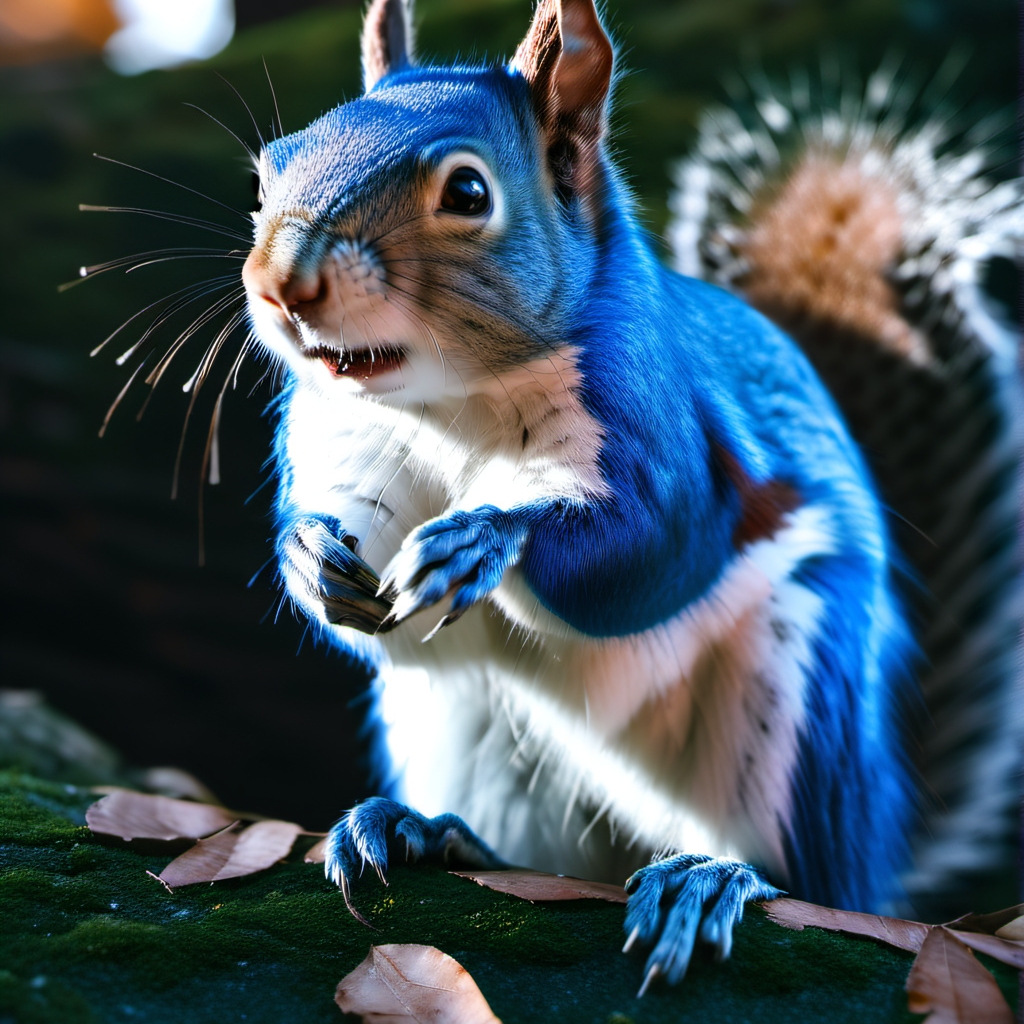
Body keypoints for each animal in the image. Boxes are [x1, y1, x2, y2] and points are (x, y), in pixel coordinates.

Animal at [234, 0, 1021, 992]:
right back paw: (425, 830)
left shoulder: (670, 438)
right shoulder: (344, 447)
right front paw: (305, 557)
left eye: (468, 193)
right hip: (473, 730)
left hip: (796, 701)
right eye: (268, 169)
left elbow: (646, 558)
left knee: (802, 877)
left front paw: (486, 539)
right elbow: (356, 565)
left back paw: (711, 878)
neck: (445, 404)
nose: (280, 285)